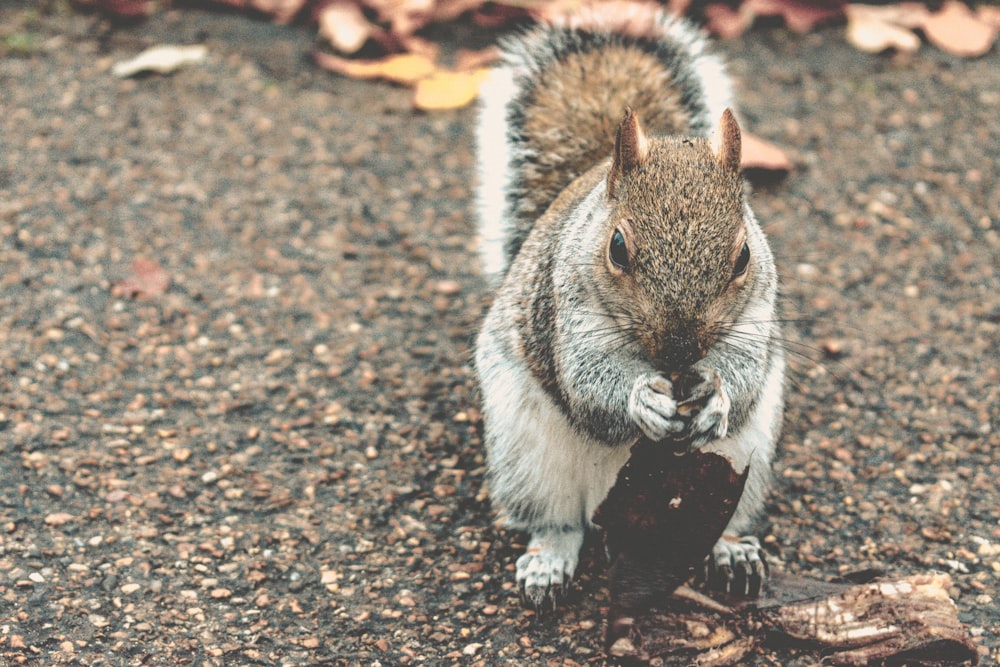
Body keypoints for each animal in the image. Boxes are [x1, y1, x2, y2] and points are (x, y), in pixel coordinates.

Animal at [472, 3, 784, 612]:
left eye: (743, 256)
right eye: (617, 247)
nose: (682, 350)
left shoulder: (757, 318)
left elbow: (746, 375)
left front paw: (716, 398)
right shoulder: (564, 317)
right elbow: (589, 389)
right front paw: (641, 400)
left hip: (744, 465)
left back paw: (730, 552)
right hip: (528, 459)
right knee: (558, 523)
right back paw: (548, 564)